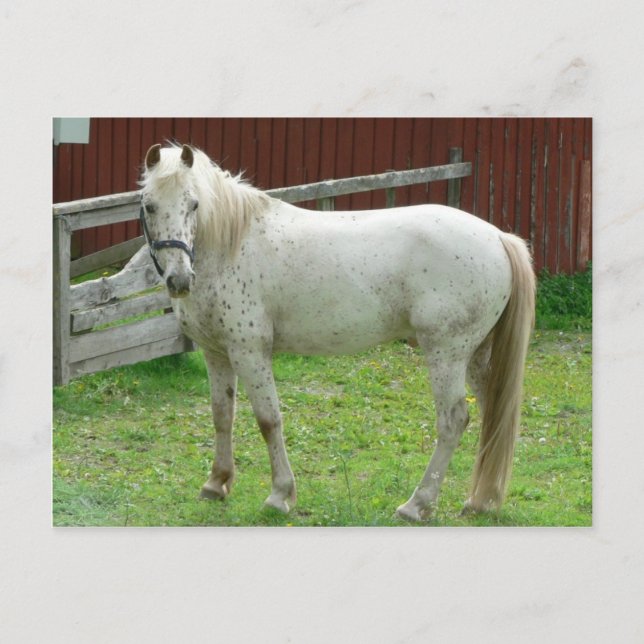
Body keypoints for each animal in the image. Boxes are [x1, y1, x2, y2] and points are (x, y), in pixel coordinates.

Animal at [139, 142, 535, 521]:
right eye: (149, 205)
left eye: (194, 204)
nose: (179, 280)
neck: (231, 244)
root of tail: (498, 238)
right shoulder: (217, 353)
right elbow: (222, 416)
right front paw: (216, 484)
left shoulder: (249, 352)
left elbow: (269, 421)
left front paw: (280, 495)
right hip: (476, 355)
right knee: (493, 415)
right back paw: (481, 502)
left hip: (447, 354)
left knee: (453, 421)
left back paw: (417, 505)